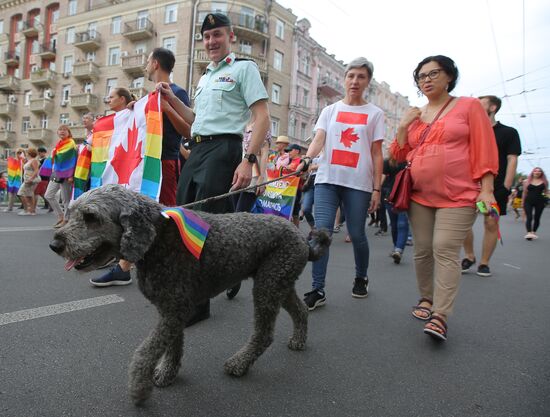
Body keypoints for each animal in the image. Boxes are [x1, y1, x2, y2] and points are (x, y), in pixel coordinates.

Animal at [48, 184, 332, 404]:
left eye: (91, 217)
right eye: (71, 212)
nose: (55, 244)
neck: (158, 239)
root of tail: (302, 238)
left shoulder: (174, 310)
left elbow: (145, 353)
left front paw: (139, 389)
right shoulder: (172, 309)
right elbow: (173, 345)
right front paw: (167, 373)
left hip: (267, 286)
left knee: (264, 334)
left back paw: (239, 363)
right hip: (279, 282)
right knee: (300, 310)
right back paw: (298, 339)